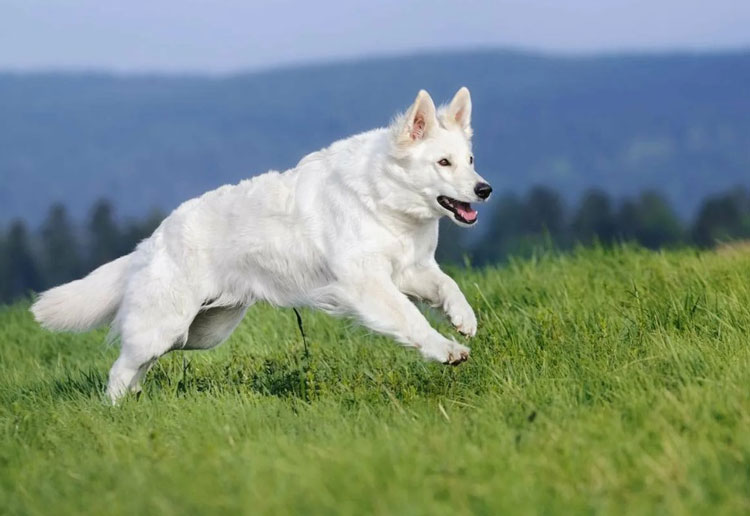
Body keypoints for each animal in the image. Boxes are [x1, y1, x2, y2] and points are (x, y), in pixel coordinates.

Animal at [32, 86, 494, 402]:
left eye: (470, 160)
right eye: (443, 163)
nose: (485, 189)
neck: (384, 196)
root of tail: (151, 241)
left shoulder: (411, 269)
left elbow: (447, 285)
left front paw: (464, 319)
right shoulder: (367, 285)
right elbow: (412, 320)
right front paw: (447, 349)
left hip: (201, 332)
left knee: (138, 365)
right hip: (166, 326)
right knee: (120, 367)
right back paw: (114, 411)